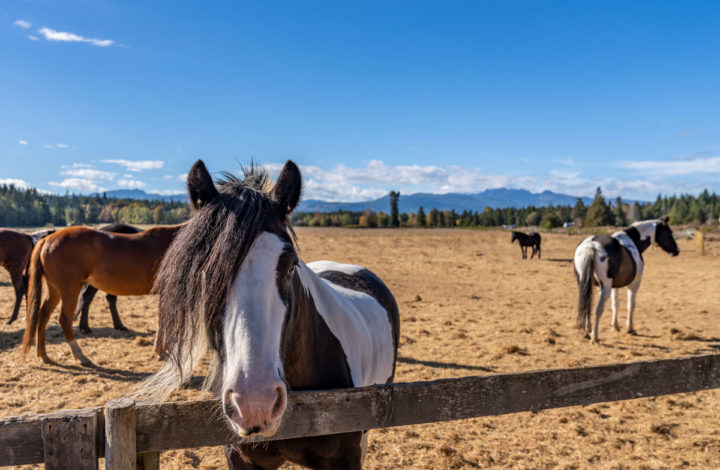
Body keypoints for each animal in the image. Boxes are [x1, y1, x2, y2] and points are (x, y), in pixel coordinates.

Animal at [22, 222, 186, 366]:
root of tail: (48, 239)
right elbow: (165, 321)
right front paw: (162, 351)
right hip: (69, 290)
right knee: (65, 320)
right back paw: (80, 355)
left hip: (54, 290)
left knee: (43, 315)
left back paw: (43, 354)